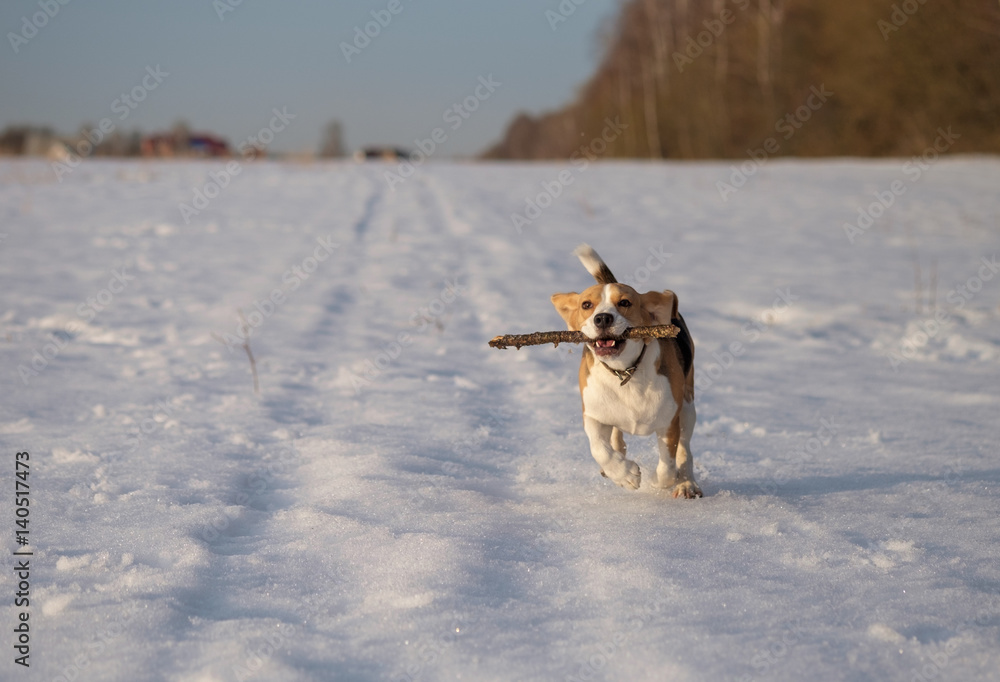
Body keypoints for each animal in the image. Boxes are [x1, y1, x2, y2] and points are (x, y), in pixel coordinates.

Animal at [552, 243, 700, 494]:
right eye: (586, 305)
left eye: (625, 303)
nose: (602, 318)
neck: (625, 371)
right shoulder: (592, 414)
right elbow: (599, 448)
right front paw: (625, 474)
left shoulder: (668, 422)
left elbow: (667, 467)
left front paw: (658, 480)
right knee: (615, 437)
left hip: (688, 407)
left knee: (685, 450)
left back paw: (687, 483)